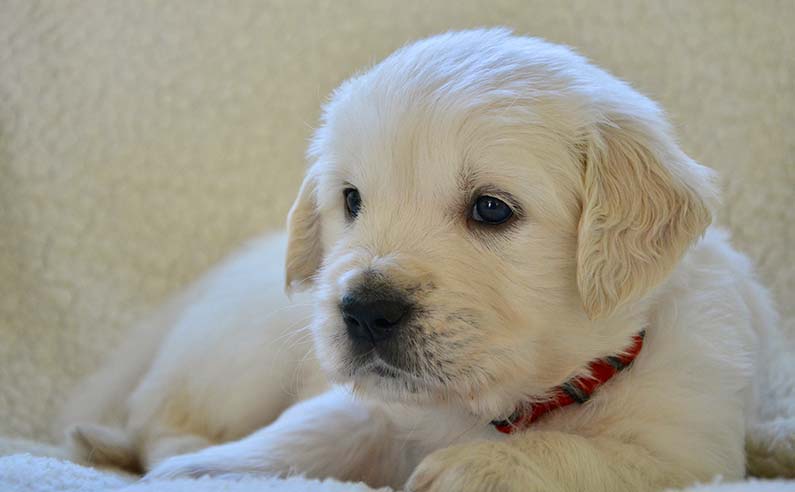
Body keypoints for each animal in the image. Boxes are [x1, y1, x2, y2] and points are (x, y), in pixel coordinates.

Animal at [60, 28, 776, 490]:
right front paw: (203, 472)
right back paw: (175, 448)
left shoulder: (691, 452)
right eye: (351, 199)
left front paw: (478, 469)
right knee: (156, 412)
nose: (363, 311)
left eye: (491, 209)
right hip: (241, 352)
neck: (502, 406)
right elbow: (305, 427)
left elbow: (589, 457)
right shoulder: (371, 406)